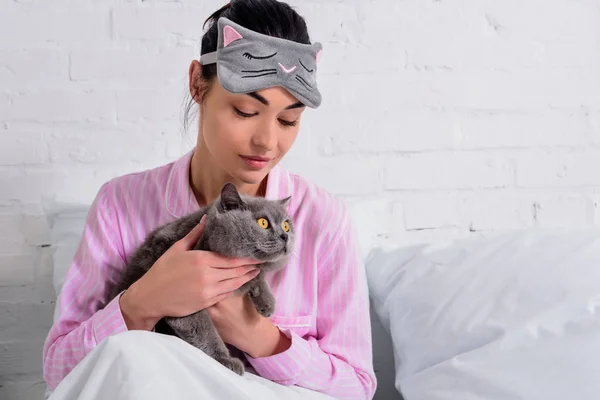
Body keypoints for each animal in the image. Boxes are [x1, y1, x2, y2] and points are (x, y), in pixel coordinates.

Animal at [109, 181, 296, 376]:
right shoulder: (183, 302)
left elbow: (257, 274)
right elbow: (205, 331)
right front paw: (225, 360)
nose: (285, 236)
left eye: (286, 225)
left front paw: (267, 302)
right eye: (263, 222)